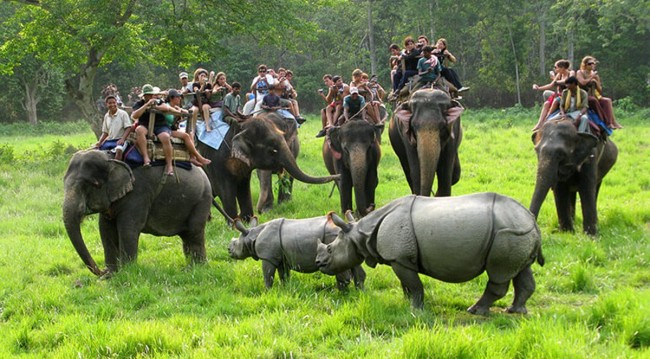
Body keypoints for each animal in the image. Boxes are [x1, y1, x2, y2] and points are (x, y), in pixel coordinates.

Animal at [62, 149, 211, 276]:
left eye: (94, 184)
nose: (101, 271)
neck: (112, 159)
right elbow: (105, 229)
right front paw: (111, 275)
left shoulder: (138, 193)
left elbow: (127, 229)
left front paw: (126, 273)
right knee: (187, 236)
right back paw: (191, 268)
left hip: (202, 200)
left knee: (194, 233)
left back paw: (197, 268)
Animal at [196, 114, 340, 224]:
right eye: (272, 150)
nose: (259, 212)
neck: (240, 126)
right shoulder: (216, 161)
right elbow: (224, 189)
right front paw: (234, 225)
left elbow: (244, 188)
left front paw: (247, 221)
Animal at [227, 217, 364, 290]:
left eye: (235, 244)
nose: (228, 250)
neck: (252, 235)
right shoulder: (281, 258)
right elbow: (283, 275)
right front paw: (285, 289)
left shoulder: (267, 257)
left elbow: (268, 275)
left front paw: (267, 291)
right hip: (346, 241)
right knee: (353, 264)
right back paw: (358, 292)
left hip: (333, 237)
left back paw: (340, 293)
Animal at [314, 194, 540, 316]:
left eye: (331, 250)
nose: (320, 264)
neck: (361, 234)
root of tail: (531, 220)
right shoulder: (401, 259)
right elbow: (406, 284)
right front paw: (407, 302)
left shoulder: (399, 258)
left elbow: (414, 284)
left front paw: (416, 310)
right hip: (518, 232)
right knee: (520, 270)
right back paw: (515, 311)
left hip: (506, 233)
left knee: (499, 274)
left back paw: (475, 311)